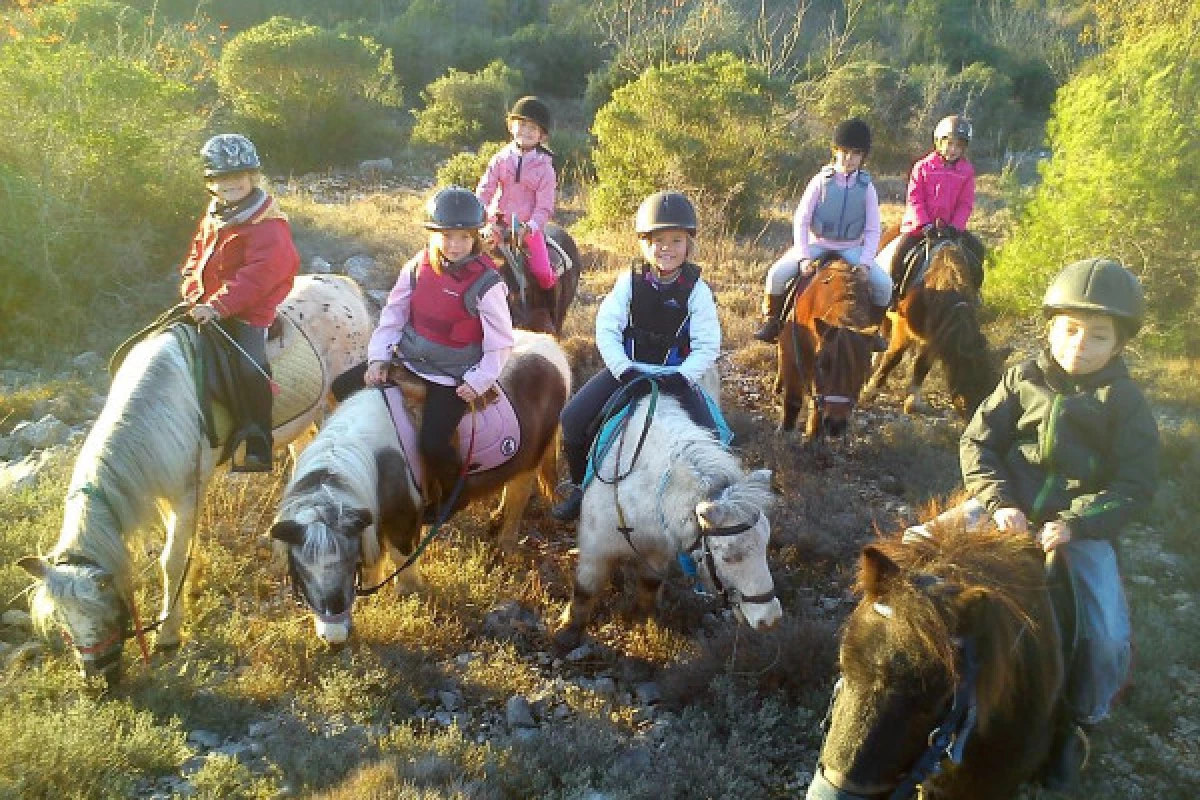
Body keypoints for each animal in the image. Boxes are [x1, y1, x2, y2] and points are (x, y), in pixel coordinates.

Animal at [15, 277, 369, 690]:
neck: (158, 409)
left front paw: (168, 634)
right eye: (62, 620)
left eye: (105, 609)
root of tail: (342, 286)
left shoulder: (186, 492)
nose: (100, 683)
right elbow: (183, 549)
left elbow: (171, 560)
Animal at [272, 328, 571, 647]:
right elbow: (374, 557)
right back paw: (495, 521)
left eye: (348, 561)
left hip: (530, 462)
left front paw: (408, 592)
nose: (334, 637)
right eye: (300, 571)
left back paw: (505, 542)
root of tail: (551, 346)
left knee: (519, 494)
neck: (371, 457)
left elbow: (401, 557)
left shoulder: (404, 519)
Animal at [554, 381, 782, 652]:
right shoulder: (596, 549)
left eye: (765, 547)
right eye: (727, 557)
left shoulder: (658, 552)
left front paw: (647, 622)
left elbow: (649, 585)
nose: (770, 619)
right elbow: (585, 589)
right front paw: (567, 634)